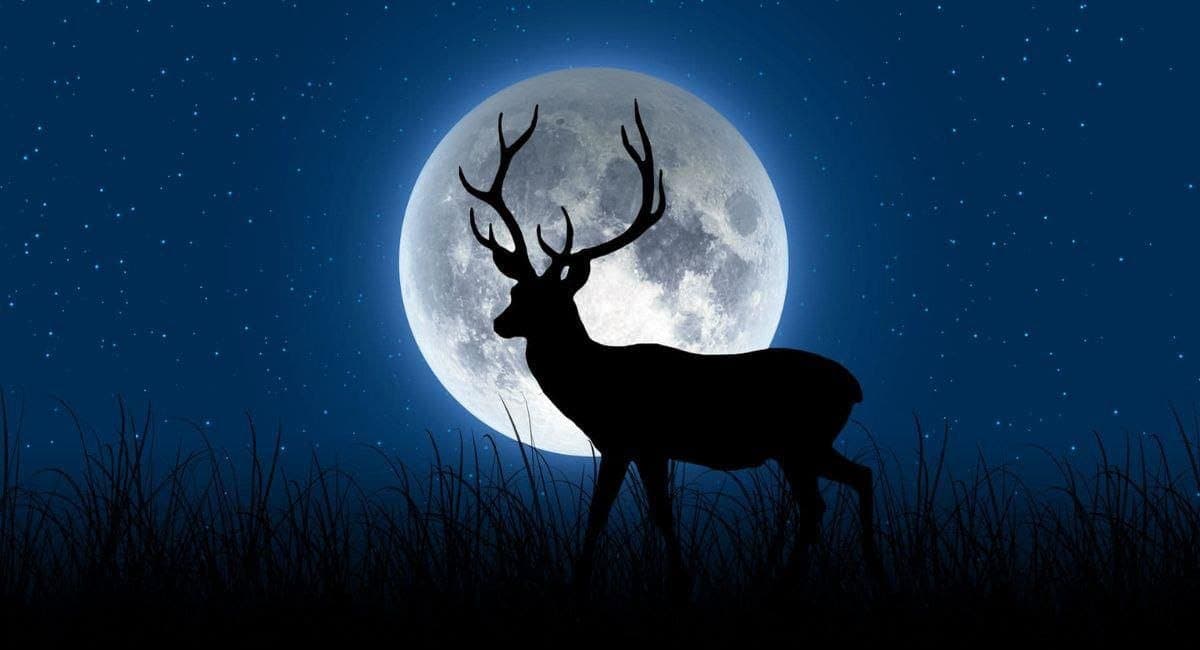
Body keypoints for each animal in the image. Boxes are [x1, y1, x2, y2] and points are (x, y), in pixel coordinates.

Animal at [457, 100, 883, 595]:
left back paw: (786, 582)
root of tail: (854, 387)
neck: (595, 382)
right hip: (807, 445)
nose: (499, 323)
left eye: (547, 301)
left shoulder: (634, 440)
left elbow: (625, 515)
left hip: (800, 442)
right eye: (514, 291)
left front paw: (658, 581)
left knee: (817, 505)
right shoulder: (636, 446)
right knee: (858, 478)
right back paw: (870, 570)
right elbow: (631, 514)